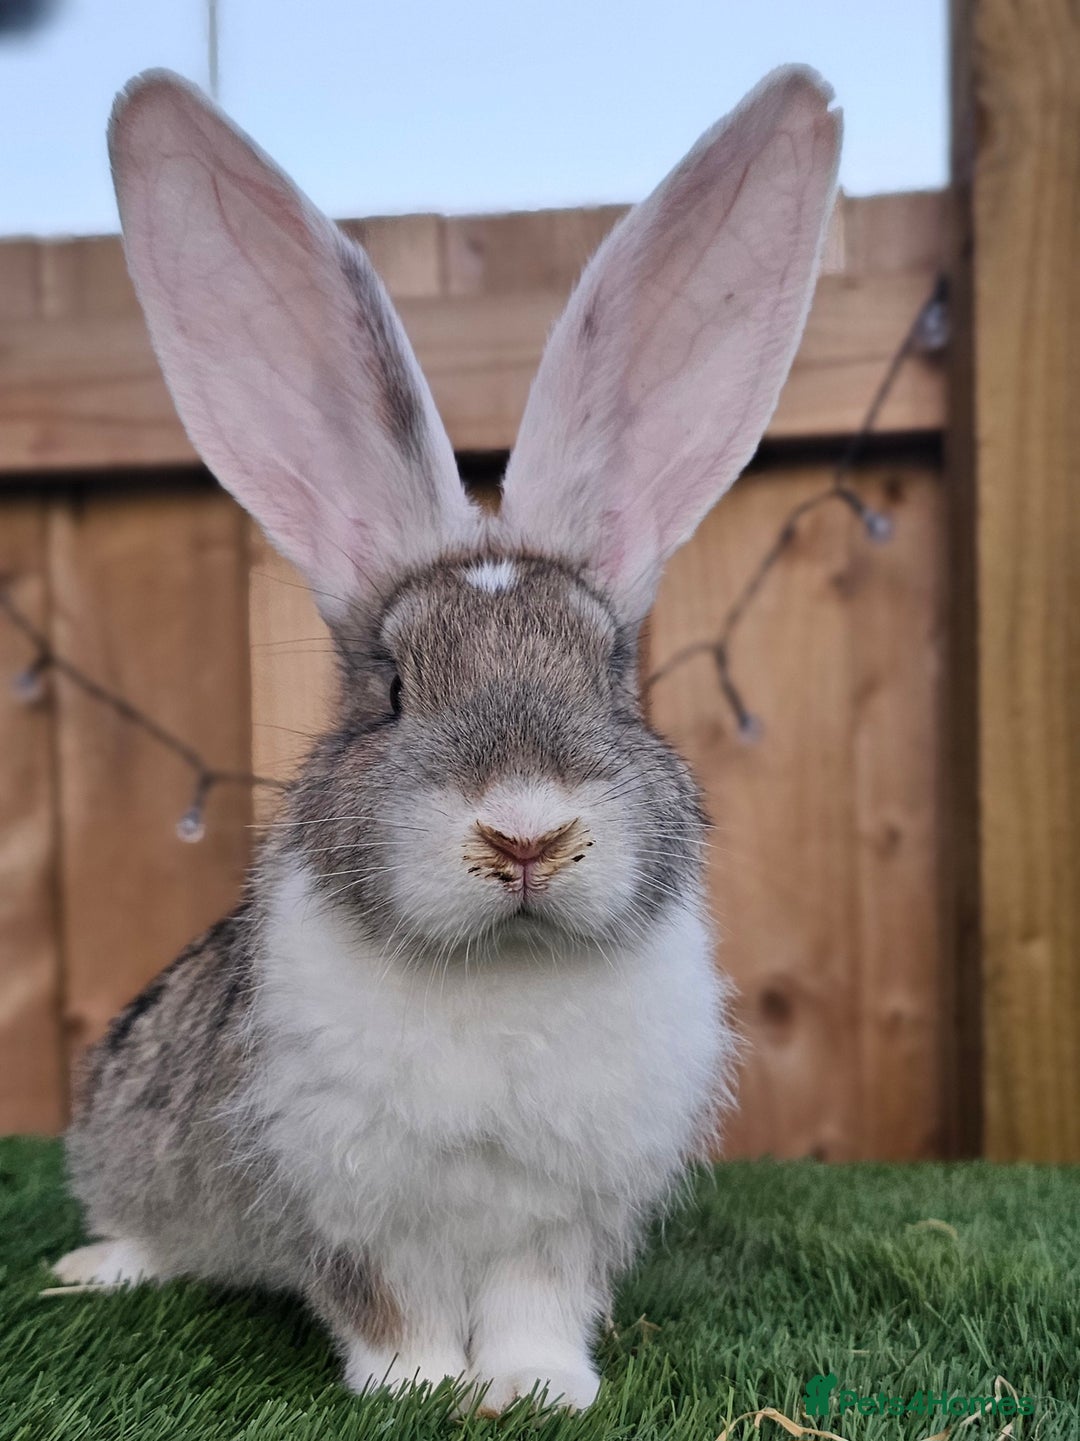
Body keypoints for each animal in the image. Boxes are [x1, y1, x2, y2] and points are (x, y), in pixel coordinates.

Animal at [56, 66, 840, 1414]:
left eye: (612, 679)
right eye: (390, 691)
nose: (526, 836)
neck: (501, 971)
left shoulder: (564, 1222)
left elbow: (535, 1307)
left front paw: (533, 1391)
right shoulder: (349, 1208)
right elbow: (390, 1304)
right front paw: (416, 1388)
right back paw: (90, 1267)